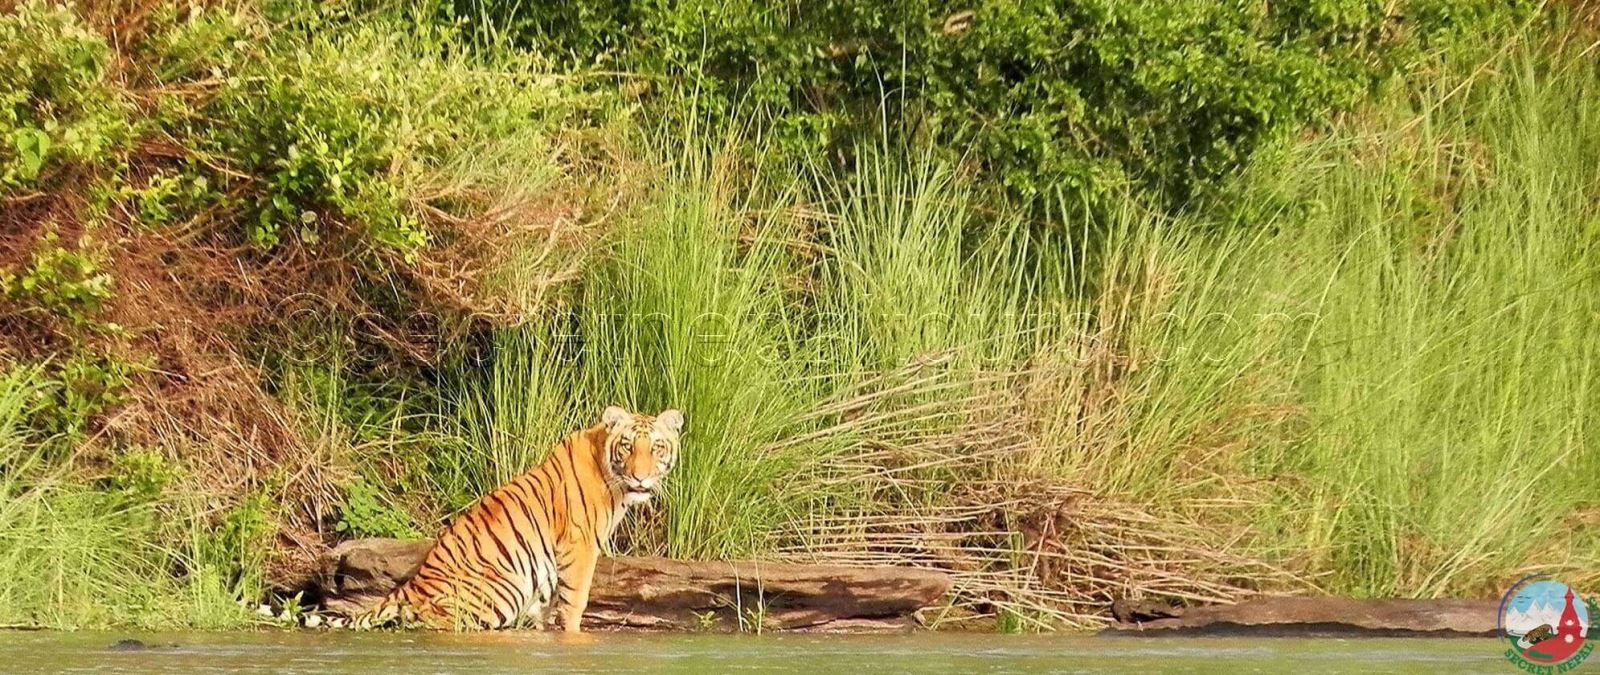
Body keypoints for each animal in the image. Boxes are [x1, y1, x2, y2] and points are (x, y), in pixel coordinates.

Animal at [356, 406, 681, 633]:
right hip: (501, 591)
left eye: (657, 448)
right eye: (627, 446)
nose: (640, 477)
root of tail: (412, 584)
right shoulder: (580, 546)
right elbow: (576, 601)